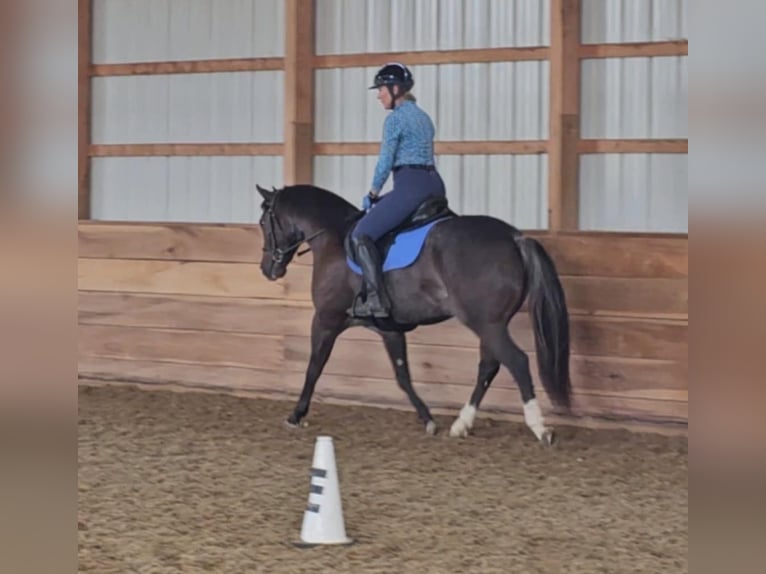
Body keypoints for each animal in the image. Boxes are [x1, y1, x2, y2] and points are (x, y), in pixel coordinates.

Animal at [255, 184, 572, 446]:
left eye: (262, 223)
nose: (267, 269)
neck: (334, 238)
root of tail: (514, 237)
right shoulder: (389, 329)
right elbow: (402, 376)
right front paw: (428, 419)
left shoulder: (325, 319)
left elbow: (314, 368)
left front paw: (296, 415)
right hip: (491, 324)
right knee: (489, 366)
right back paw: (461, 424)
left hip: (487, 323)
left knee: (516, 362)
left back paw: (539, 427)